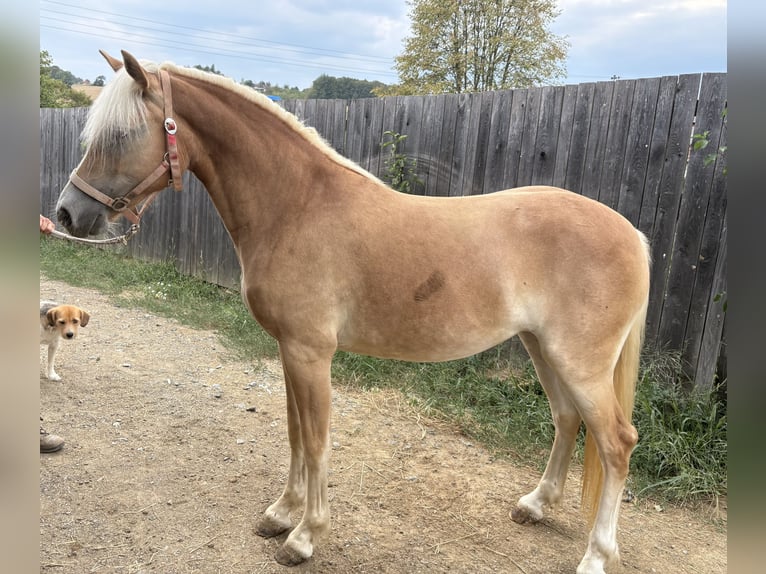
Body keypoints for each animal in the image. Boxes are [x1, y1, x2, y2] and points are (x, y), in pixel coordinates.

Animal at [55, 50, 650, 574]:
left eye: (120, 135)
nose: (67, 214)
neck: (297, 206)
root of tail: (633, 234)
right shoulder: (289, 351)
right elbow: (295, 434)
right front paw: (281, 514)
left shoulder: (311, 352)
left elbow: (317, 441)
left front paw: (304, 537)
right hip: (541, 348)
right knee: (568, 419)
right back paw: (535, 505)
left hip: (579, 361)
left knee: (617, 443)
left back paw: (597, 556)